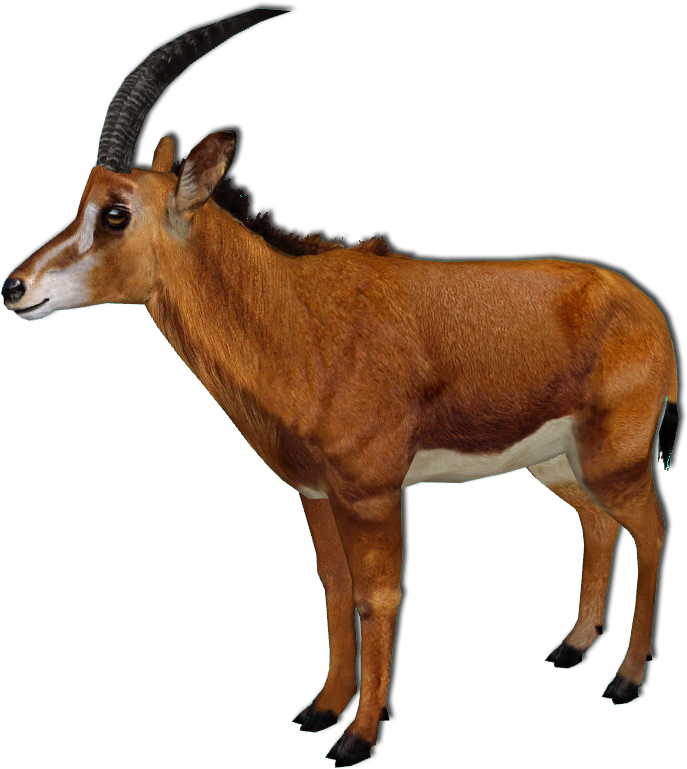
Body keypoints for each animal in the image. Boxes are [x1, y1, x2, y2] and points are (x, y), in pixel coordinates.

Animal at [3, 9, 678, 766]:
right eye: (84, 201)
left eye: (116, 212)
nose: (14, 289)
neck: (298, 317)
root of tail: (646, 310)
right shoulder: (316, 491)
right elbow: (333, 588)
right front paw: (322, 708)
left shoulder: (372, 493)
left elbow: (377, 597)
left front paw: (357, 736)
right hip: (556, 462)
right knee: (598, 521)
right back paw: (572, 646)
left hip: (614, 455)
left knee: (650, 528)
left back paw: (624, 679)